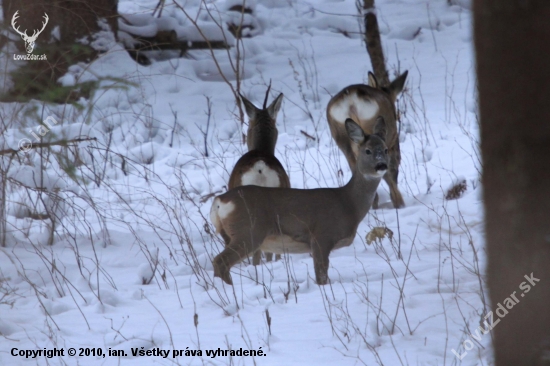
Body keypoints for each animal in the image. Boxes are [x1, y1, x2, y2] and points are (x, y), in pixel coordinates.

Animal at [210, 117, 388, 286]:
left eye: (386, 149)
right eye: (367, 150)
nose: (381, 165)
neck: (348, 203)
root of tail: (220, 200)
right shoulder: (321, 236)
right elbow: (321, 275)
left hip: (232, 234)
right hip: (248, 231)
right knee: (220, 261)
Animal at [328, 69, 410, 207]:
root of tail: (351, 99)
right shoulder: (393, 142)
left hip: (341, 136)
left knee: (356, 167)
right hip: (377, 128)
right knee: (387, 169)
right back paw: (398, 203)